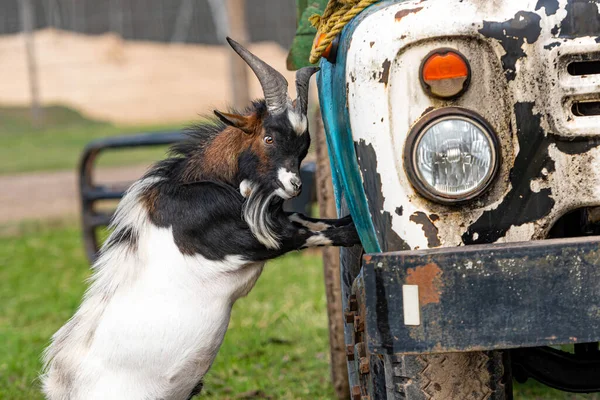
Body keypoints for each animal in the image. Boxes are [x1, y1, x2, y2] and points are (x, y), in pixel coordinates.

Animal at [42, 38, 360, 400]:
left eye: (304, 145)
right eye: (268, 138)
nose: (295, 185)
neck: (199, 184)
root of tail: (65, 388)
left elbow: (312, 221)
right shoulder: (245, 240)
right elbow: (309, 233)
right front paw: (357, 230)